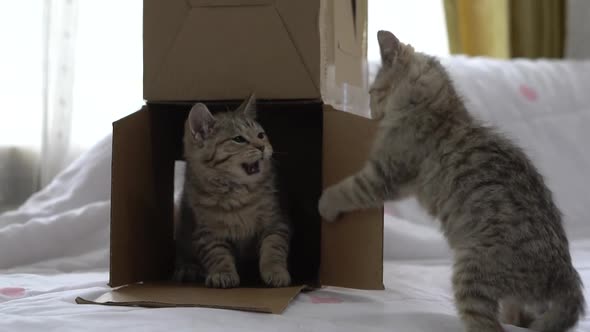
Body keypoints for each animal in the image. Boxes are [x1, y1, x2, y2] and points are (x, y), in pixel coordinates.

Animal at [176, 92, 294, 288]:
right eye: (239, 139)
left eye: (261, 135)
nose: (262, 146)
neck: (238, 192)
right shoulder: (207, 232)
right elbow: (217, 254)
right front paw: (222, 273)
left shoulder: (276, 222)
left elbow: (273, 248)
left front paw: (276, 271)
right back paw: (188, 268)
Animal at [320, 29, 588, 330]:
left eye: (372, 92)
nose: (372, 113)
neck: (441, 110)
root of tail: (566, 276)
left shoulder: (385, 174)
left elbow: (347, 189)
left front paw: (324, 203)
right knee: (518, 316)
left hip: (472, 273)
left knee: (488, 325)